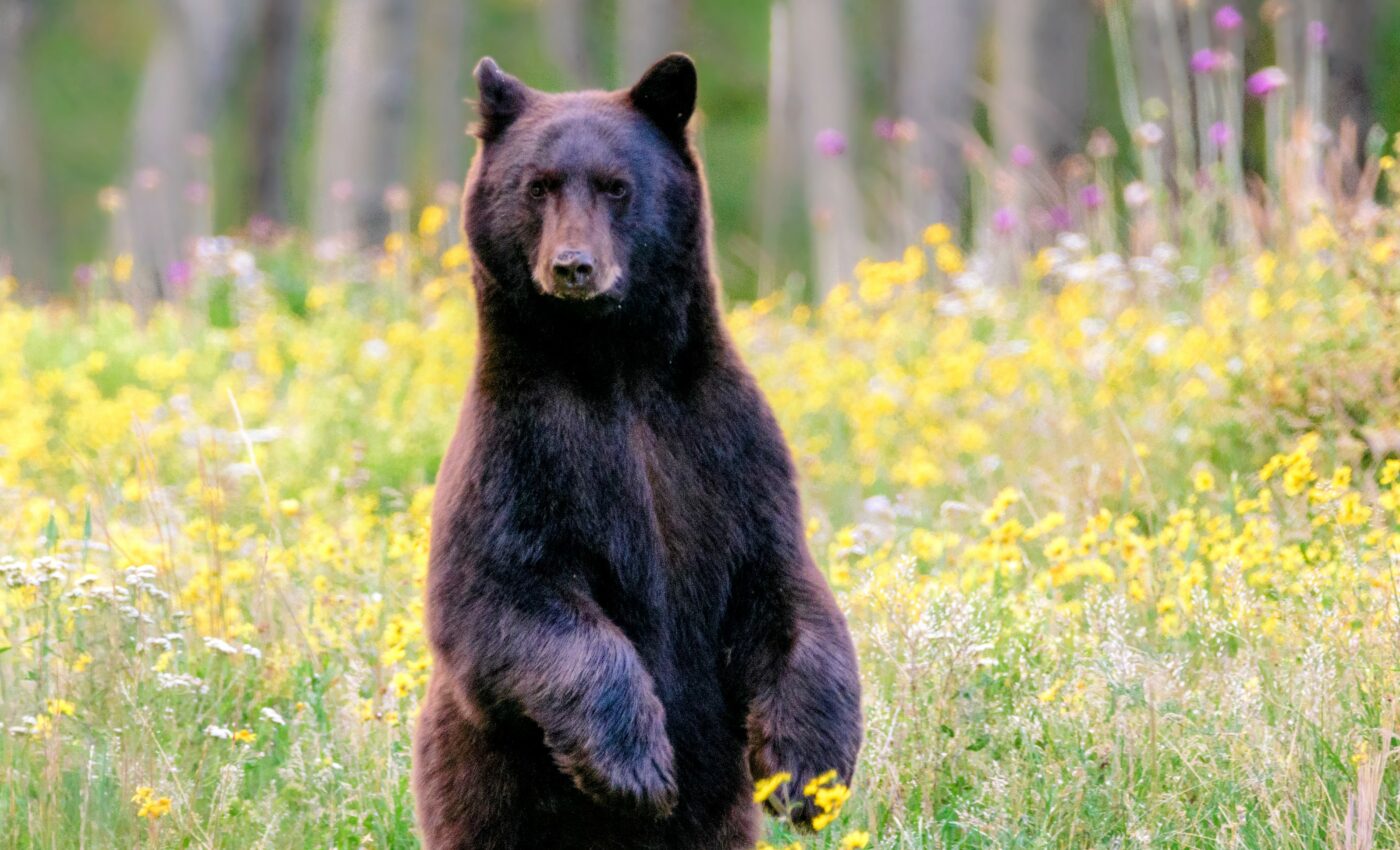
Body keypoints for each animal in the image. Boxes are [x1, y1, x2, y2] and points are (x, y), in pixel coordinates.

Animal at [411, 53, 862, 850]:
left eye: (616, 186)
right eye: (538, 185)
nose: (573, 267)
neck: (616, 367)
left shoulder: (723, 447)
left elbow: (784, 585)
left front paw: (809, 776)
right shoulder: (522, 453)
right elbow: (503, 594)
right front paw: (634, 767)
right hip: (478, 788)